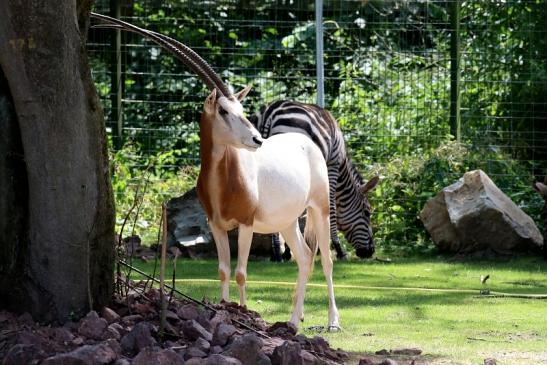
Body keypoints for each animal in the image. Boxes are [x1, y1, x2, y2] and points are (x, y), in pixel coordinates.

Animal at [249, 99, 382, 258]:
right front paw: (337, 248)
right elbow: (330, 205)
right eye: (367, 213)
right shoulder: (332, 165)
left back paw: (276, 254)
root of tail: (270, 112)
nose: (370, 251)